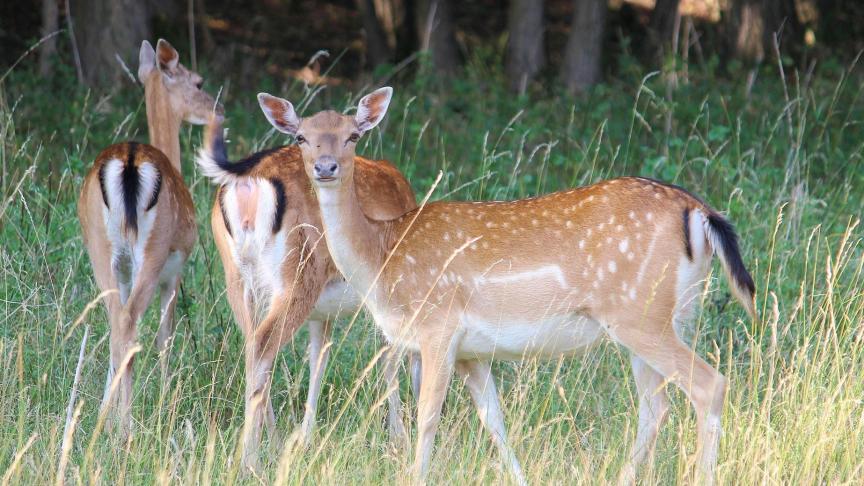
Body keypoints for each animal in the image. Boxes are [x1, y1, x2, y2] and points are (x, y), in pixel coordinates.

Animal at [77, 39, 223, 436]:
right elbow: (165, 338)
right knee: (129, 325)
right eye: (199, 82)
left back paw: (107, 422)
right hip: (154, 250)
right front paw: (165, 403)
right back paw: (126, 428)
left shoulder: (126, 271)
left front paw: (108, 412)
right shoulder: (175, 269)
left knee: (116, 323)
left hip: (101, 249)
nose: (218, 109)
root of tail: (128, 159)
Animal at [236, 85, 756, 484]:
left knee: (708, 386)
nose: (325, 166)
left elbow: (428, 418)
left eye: (353, 135)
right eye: (302, 136)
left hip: (639, 316)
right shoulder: (473, 352)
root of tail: (699, 213)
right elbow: (495, 422)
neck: (385, 256)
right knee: (656, 406)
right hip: (670, 314)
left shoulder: (438, 326)